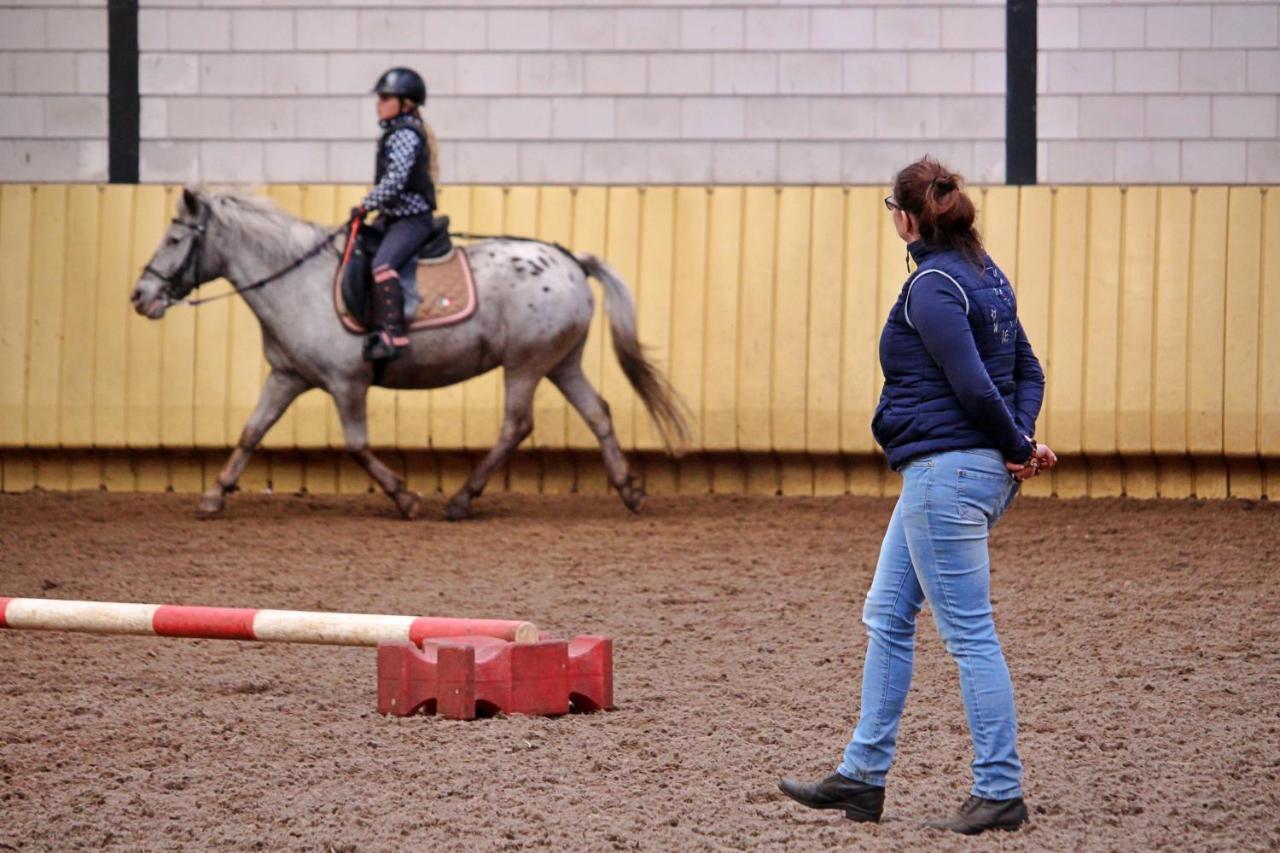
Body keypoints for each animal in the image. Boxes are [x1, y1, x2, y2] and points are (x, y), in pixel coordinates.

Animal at [129, 188, 691, 517]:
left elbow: (356, 445)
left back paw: (462, 500)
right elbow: (251, 431)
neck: (296, 280)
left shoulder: (346, 382)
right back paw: (630, 491)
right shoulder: (287, 376)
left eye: (175, 239)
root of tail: (571, 260)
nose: (140, 296)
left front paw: (405, 496)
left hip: (525, 364)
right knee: (598, 413)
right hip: (560, 362)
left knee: (517, 425)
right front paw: (213, 494)